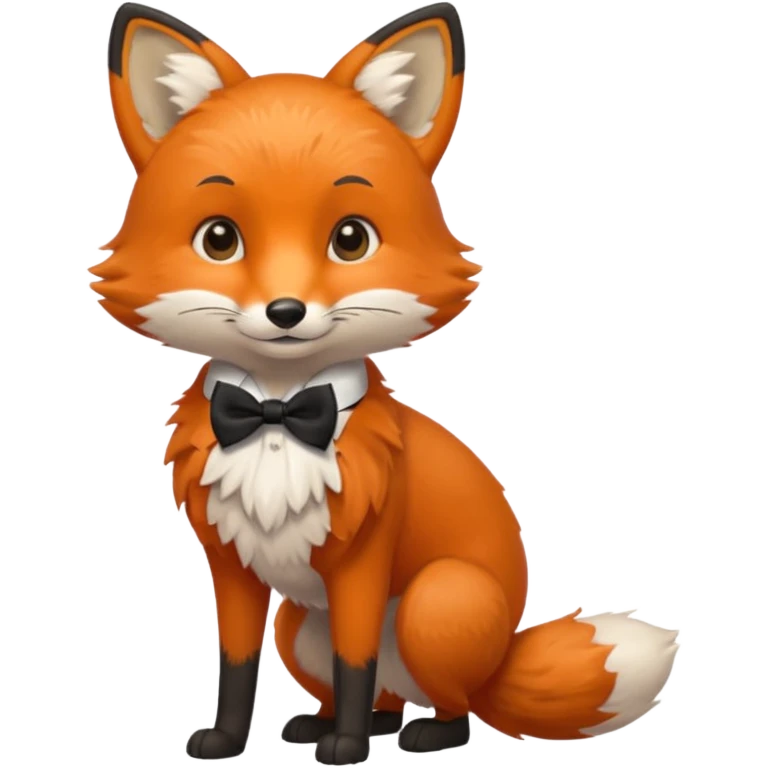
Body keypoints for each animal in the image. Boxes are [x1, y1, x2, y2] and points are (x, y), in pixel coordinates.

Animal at [93, 2, 681, 764]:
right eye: (219, 239)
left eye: (351, 239)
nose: (286, 311)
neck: (277, 410)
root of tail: (501, 659)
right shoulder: (232, 567)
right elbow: (236, 663)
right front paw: (227, 738)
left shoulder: (362, 566)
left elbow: (356, 657)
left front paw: (345, 750)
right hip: (298, 626)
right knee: (384, 691)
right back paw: (343, 722)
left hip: (437, 602)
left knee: (443, 698)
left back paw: (419, 731)